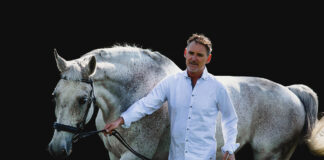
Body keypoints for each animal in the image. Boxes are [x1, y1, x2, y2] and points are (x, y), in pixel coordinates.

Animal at [48, 45, 324, 159]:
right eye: (55, 95)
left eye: (83, 99)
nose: (57, 148)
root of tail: (291, 93)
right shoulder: (113, 155)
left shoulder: (133, 156)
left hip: (269, 155)